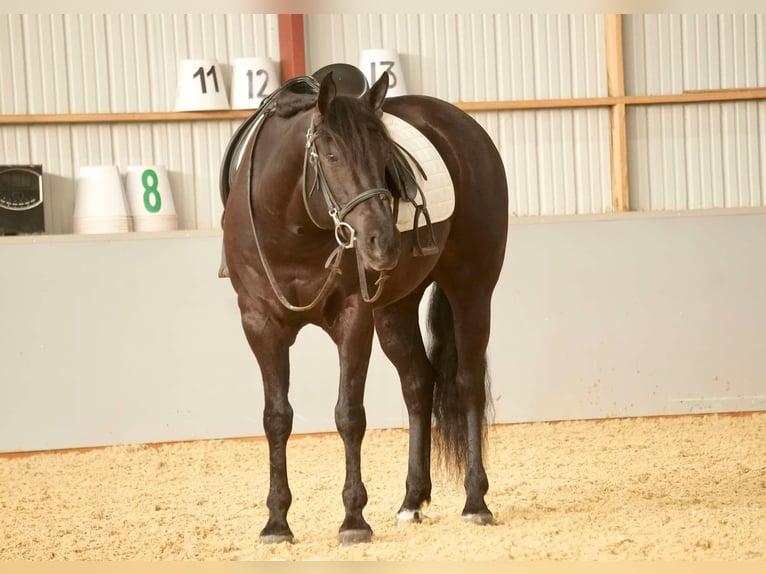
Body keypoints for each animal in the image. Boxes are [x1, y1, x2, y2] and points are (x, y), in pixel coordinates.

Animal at [222, 70, 510, 548]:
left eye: (383, 154)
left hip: (471, 290)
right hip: (394, 309)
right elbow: (276, 418)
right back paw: (411, 502)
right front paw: (277, 522)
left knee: (466, 384)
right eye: (332, 155)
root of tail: (465, 128)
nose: (383, 242)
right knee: (418, 384)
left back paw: (475, 502)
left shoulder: (353, 319)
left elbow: (349, 415)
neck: (292, 228)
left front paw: (353, 519)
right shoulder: (260, 324)